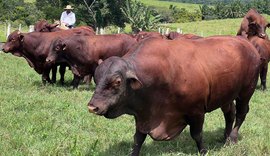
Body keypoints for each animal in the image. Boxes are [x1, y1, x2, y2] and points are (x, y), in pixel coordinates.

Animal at [87, 36, 260, 155]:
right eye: (96, 77)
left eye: (117, 82)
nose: (92, 107)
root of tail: (247, 44)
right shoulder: (143, 116)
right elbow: (138, 139)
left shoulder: (196, 112)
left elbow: (197, 135)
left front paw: (203, 151)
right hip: (226, 95)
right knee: (229, 114)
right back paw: (225, 137)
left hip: (246, 92)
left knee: (241, 114)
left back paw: (232, 138)